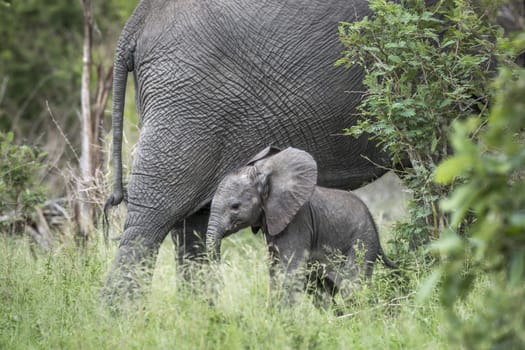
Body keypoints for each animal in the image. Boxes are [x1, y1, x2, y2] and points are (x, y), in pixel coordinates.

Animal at [207, 146, 396, 302]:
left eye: (235, 207)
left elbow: (289, 274)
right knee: (322, 293)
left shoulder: (297, 221)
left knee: (354, 287)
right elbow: (275, 273)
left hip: (363, 241)